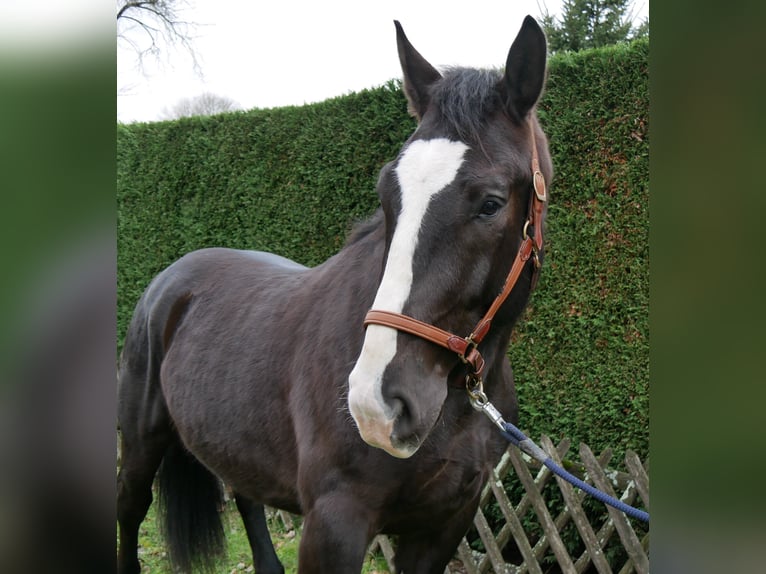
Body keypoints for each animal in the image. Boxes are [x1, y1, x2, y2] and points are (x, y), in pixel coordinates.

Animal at [117, 16, 552, 574]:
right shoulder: (335, 523)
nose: (376, 404)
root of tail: (169, 280)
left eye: (492, 203)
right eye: (387, 194)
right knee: (129, 510)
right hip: (140, 442)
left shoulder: (445, 525)